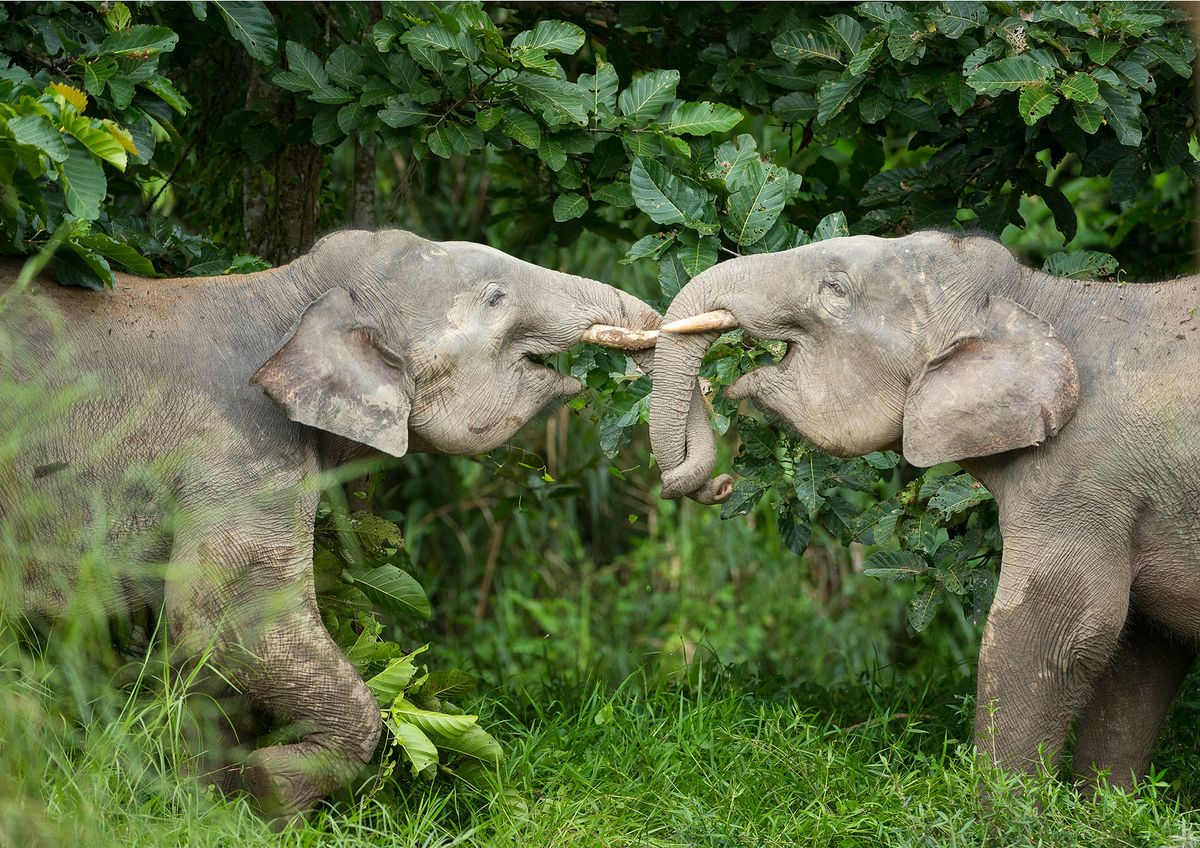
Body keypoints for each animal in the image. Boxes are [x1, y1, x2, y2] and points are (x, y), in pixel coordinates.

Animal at [0, 229, 720, 820]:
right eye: (495, 298)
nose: (712, 487)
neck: (285, 292)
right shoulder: (238, 450)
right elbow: (225, 611)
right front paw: (268, 794)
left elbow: (197, 645)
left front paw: (211, 803)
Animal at [648, 230, 1200, 791]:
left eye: (835, 288)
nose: (716, 485)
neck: (1036, 298)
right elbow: (1141, 661)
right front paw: (1105, 805)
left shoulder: (1083, 484)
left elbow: (1053, 635)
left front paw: (1006, 809)